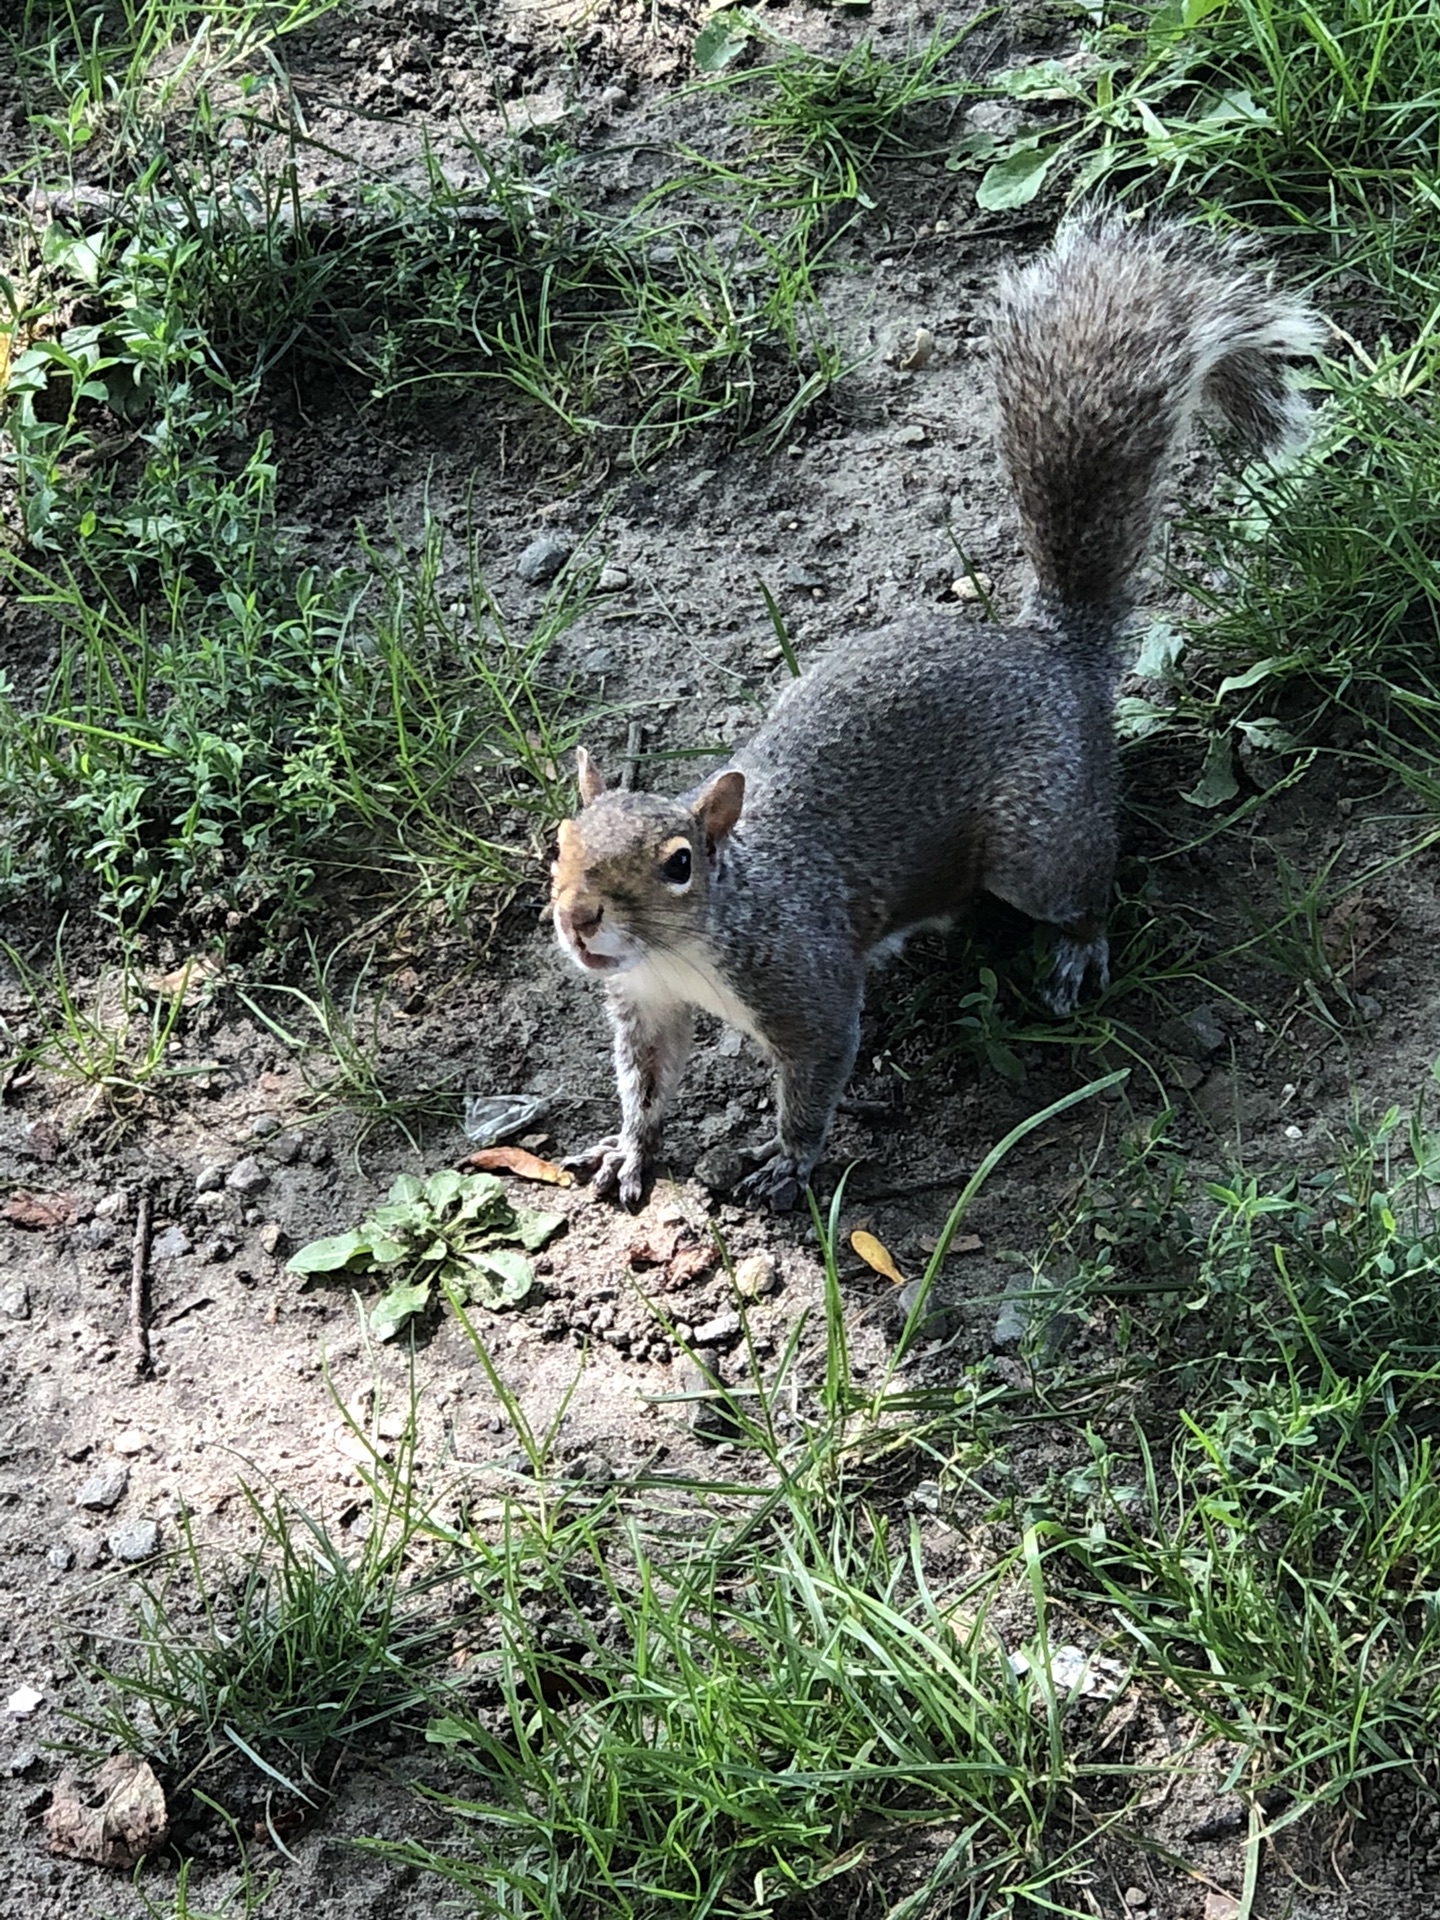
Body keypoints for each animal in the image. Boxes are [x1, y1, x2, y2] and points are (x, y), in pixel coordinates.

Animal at [552, 217, 1328, 1205]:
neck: (686, 948)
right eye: (560, 842)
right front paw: (631, 1146)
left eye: (680, 864)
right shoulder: (645, 1007)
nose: (579, 919)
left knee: (1085, 892)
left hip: (1039, 846)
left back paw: (1077, 953)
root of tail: (1053, 653)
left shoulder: (806, 985)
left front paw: (788, 1159)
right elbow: (648, 1084)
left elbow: (816, 1076)